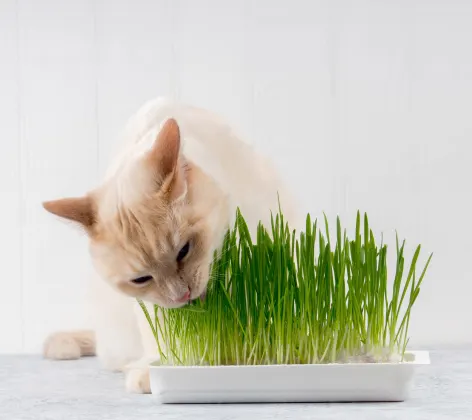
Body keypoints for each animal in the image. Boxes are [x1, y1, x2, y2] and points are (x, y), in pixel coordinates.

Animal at [42, 97, 296, 394]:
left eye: (184, 250)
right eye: (141, 279)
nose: (182, 295)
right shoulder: (151, 303)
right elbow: (163, 337)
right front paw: (157, 370)